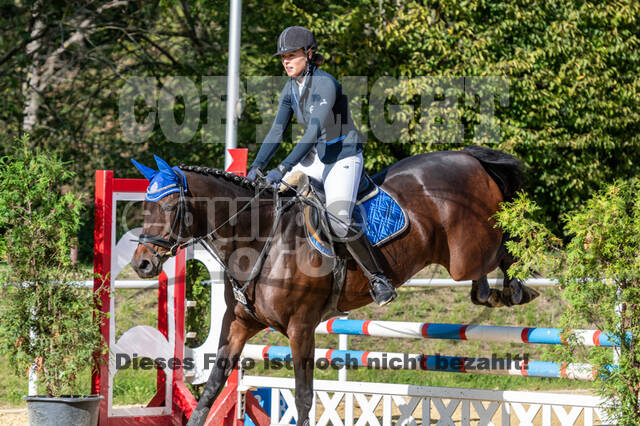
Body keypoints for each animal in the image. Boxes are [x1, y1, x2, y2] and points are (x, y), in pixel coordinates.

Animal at [129, 145, 536, 424]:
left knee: (507, 248)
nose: (142, 263)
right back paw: (497, 292)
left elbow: (304, 396)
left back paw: (517, 288)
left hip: (467, 252)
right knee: (484, 280)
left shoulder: (301, 327)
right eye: (145, 207)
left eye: (169, 208)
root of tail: (467, 156)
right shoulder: (239, 324)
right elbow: (212, 389)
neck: (260, 239)